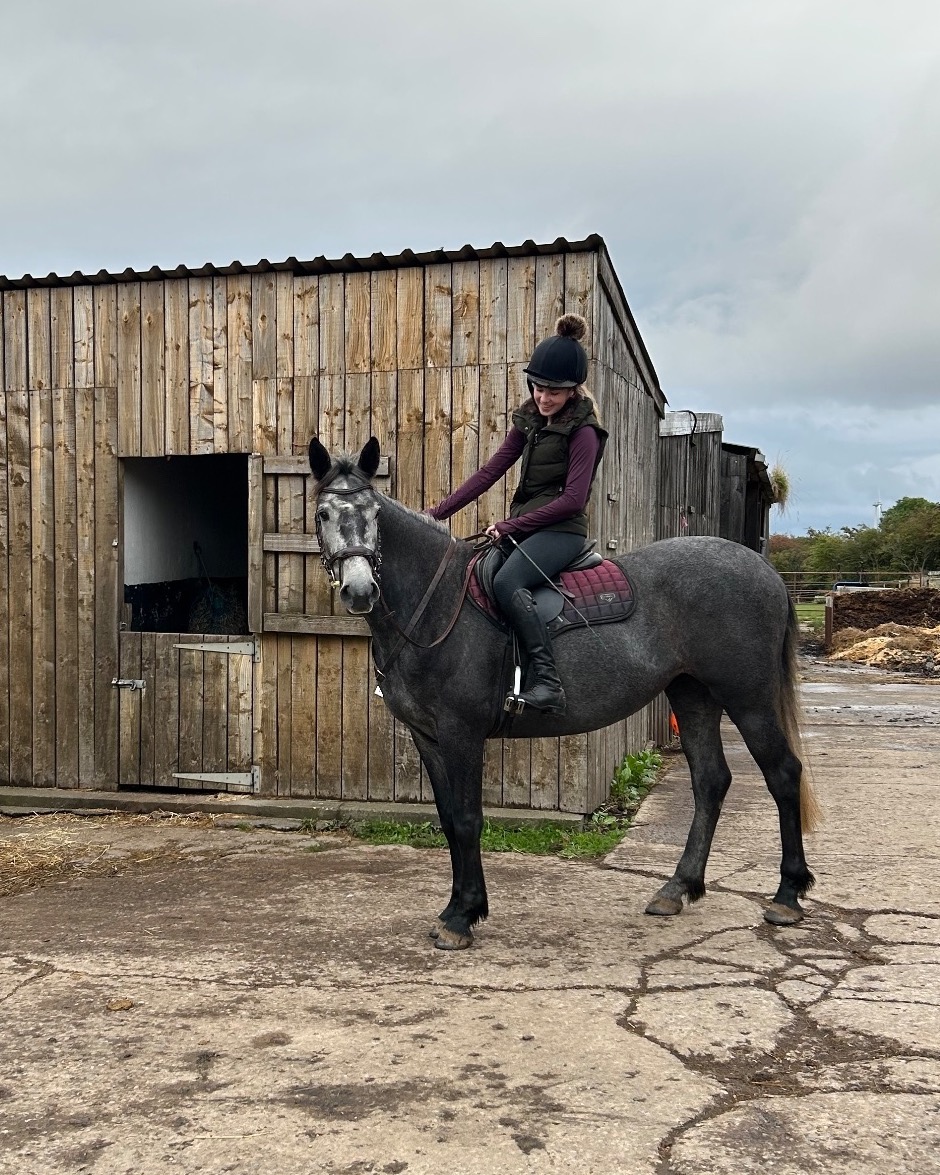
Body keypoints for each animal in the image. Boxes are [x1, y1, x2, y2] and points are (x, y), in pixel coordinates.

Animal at [309, 436, 819, 950]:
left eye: (374, 514)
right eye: (323, 514)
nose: (359, 590)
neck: (437, 605)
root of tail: (763, 569)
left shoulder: (461, 734)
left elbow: (469, 819)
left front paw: (463, 916)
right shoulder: (428, 737)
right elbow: (451, 820)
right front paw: (456, 908)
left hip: (748, 697)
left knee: (782, 773)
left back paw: (788, 894)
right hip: (693, 694)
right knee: (710, 781)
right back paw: (678, 888)